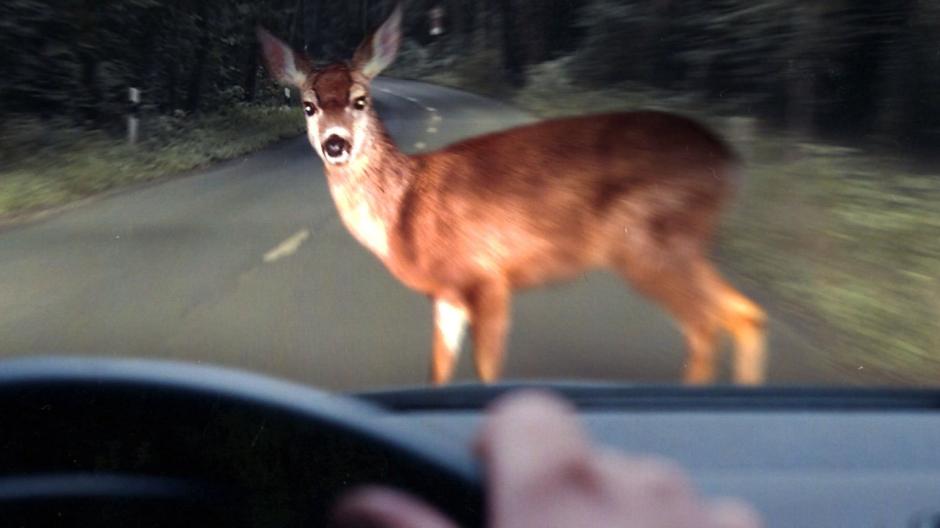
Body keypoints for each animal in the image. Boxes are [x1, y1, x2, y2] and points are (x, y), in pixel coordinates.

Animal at [257, 5, 767, 386]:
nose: (335, 144)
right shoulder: (447, 294)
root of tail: (731, 160)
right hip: (682, 244)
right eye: (308, 105)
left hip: (647, 240)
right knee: (745, 314)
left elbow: (487, 371)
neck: (406, 210)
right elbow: (438, 370)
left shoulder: (488, 277)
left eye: (360, 99)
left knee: (705, 326)